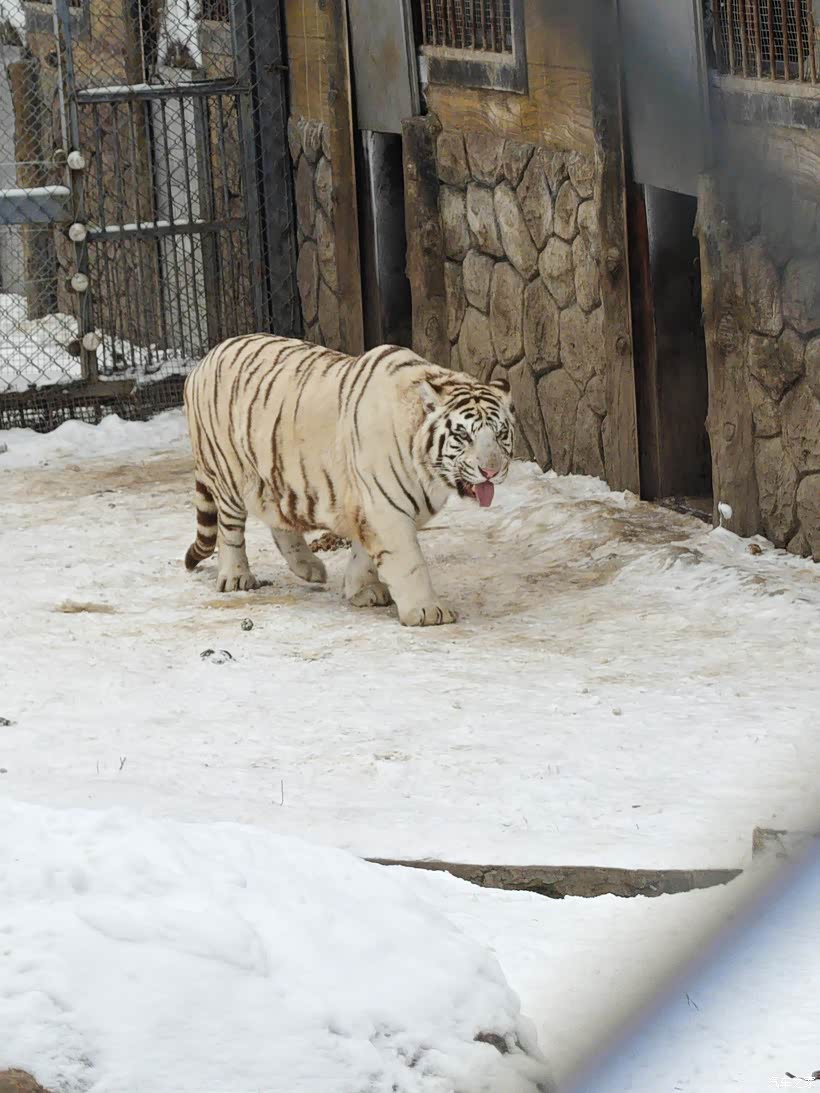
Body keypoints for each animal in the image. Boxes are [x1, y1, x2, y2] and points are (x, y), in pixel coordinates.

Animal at [182, 335, 514, 626]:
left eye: (501, 433)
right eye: (463, 435)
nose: (491, 470)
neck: (428, 471)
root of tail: (203, 362)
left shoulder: (366, 503)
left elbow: (363, 553)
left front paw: (362, 589)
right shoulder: (386, 509)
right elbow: (409, 563)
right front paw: (427, 611)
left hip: (275, 476)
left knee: (279, 522)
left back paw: (310, 569)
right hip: (227, 473)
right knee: (230, 530)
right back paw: (236, 577)